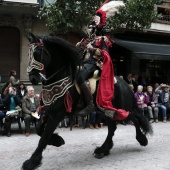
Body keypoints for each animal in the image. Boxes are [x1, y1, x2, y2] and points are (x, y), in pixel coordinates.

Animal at [21, 33, 153, 170]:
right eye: (28, 54)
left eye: (37, 53)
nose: (33, 78)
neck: (60, 77)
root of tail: (126, 84)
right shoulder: (48, 111)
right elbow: (39, 130)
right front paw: (58, 141)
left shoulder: (57, 113)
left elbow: (44, 137)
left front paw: (31, 162)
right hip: (106, 110)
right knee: (113, 127)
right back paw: (103, 149)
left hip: (120, 108)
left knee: (134, 118)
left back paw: (141, 139)